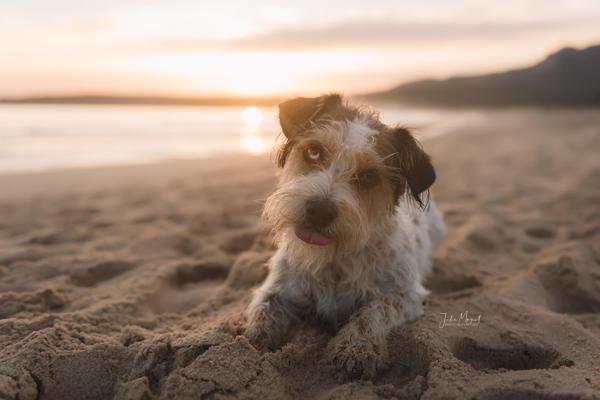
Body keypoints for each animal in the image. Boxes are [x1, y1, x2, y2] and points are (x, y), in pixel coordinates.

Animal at [245, 93, 446, 378]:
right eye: (314, 151)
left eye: (369, 176)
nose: (319, 211)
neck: (334, 259)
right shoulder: (280, 284)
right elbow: (263, 307)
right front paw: (255, 339)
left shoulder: (407, 294)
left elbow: (377, 309)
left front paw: (356, 348)